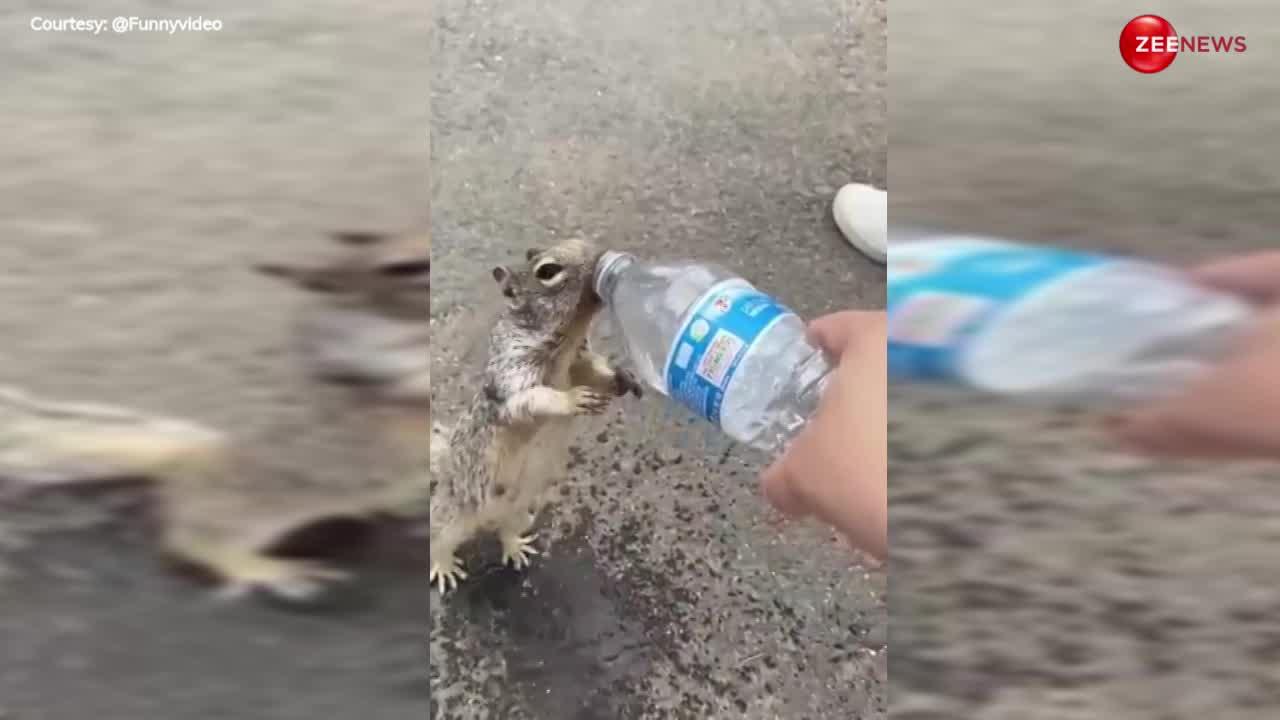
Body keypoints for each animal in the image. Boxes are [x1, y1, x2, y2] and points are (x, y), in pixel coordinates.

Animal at [432, 238, 640, 591]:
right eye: (547, 271)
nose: (600, 254)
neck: (567, 342)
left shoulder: (580, 361)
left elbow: (596, 373)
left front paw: (622, 378)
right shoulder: (512, 374)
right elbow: (532, 400)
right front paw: (571, 399)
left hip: (520, 512)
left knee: (506, 531)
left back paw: (515, 547)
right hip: (450, 516)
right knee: (439, 542)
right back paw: (443, 567)